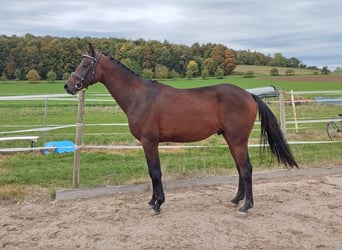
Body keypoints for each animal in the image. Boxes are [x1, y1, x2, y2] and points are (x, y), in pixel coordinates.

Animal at [63, 43, 296, 213]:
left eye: (85, 64)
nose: (68, 86)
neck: (139, 96)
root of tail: (249, 94)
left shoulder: (149, 142)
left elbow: (155, 172)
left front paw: (157, 204)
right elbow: (152, 173)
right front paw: (153, 201)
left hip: (237, 139)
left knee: (246, 169)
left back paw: (246, 206)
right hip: (231, 139)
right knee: (240, 168)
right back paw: (236, 199)